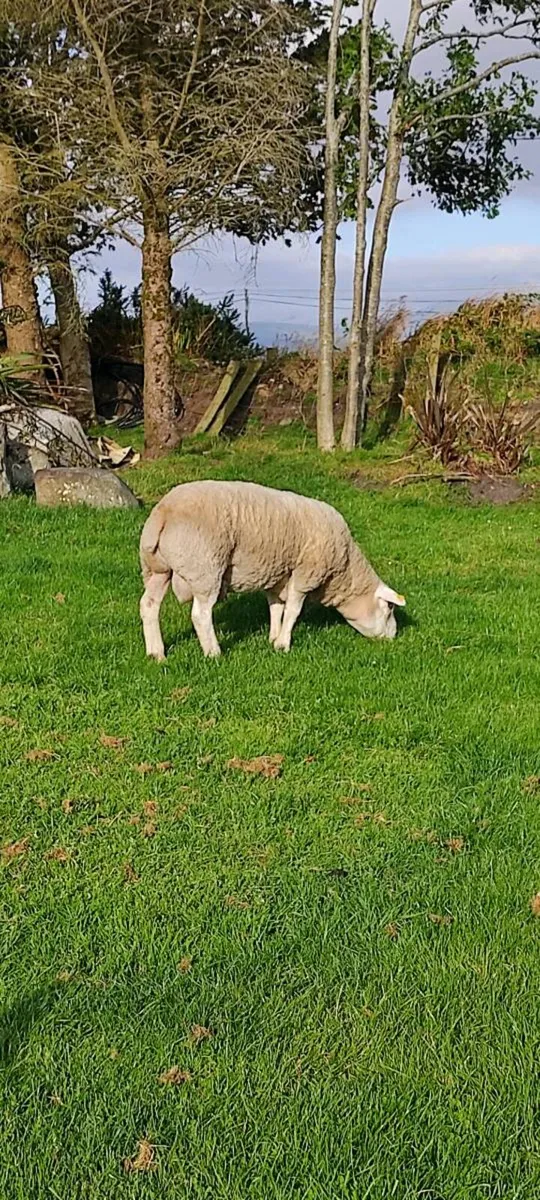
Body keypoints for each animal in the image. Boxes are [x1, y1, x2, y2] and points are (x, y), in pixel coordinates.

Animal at [139, 480, 405, 661]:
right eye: (389, 609)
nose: (394, 638)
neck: (345, 572)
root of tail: (163, 513)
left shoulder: (277, 575)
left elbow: (276, 607)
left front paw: (273, 638)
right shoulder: (305, 574)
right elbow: (293, 611)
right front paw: (283, 644)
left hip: (157, 570)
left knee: (149, 605)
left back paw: (156, 653)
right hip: (205, 568)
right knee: (200, 614)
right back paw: (214, 652)